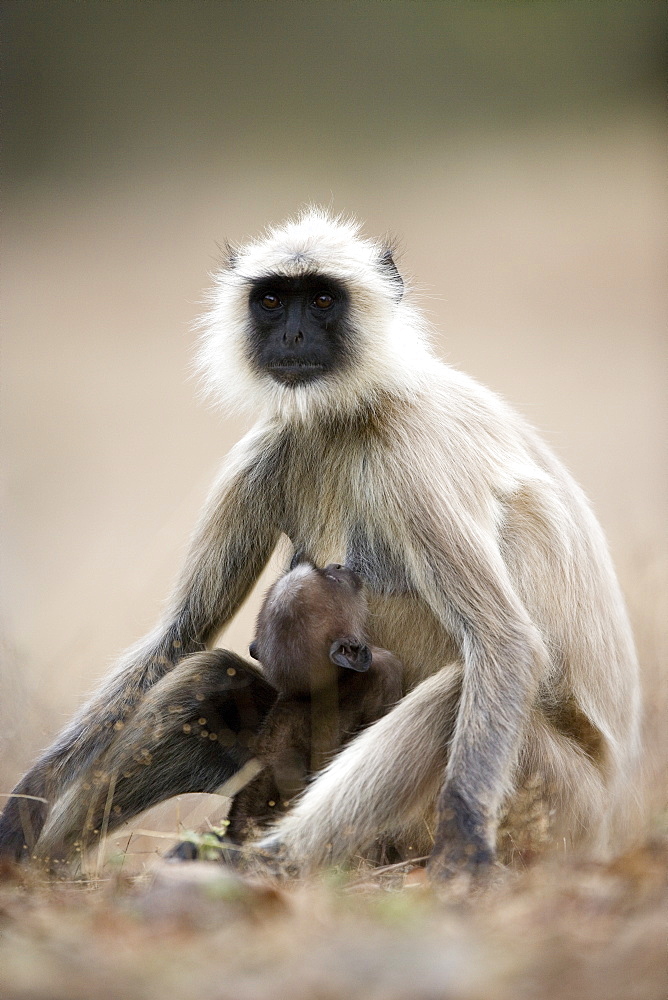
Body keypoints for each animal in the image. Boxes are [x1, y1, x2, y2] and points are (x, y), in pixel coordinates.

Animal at [0, 209, 640, 876]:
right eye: (273, 300)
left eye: (323, 300)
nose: (295, 336)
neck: (351, 413)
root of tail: (603, 825)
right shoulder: (265, 448)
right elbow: (183, 632)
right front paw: (27, 802)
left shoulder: (414, 455)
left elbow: (505, 642)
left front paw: (464, 843)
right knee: (207, 677)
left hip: (549, 807)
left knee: (454, 691)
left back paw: (262, 862)